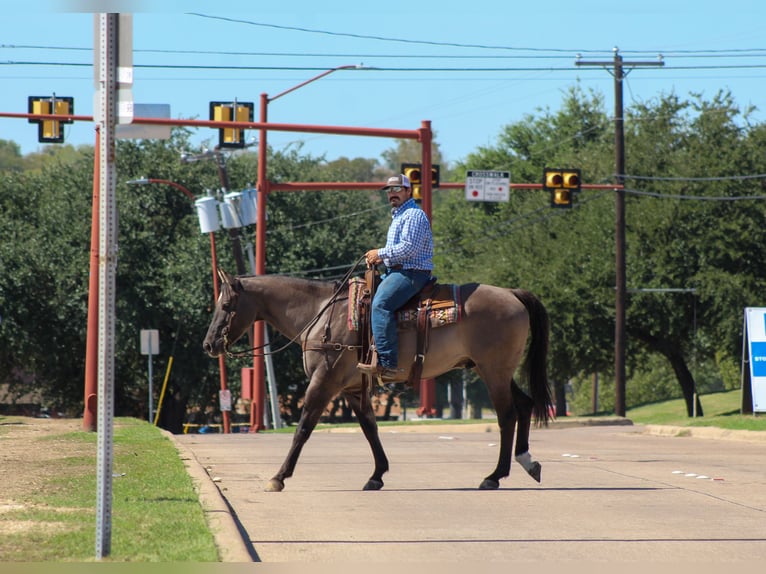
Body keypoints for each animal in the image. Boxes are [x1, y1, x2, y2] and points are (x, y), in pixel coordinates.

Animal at [203, 268, 553, 492]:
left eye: (225, 304)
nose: (209, 345)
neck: (320, 314)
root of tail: (511, 294)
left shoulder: (324, 382)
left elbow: (303, 429)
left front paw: (278, 477)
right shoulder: (353, 388)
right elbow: (369, 428)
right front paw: (377, 475)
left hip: (493, 371)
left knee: (507, 416)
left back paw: (494, 476)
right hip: (496, 370)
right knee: (525, 405)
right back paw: (527, 462)